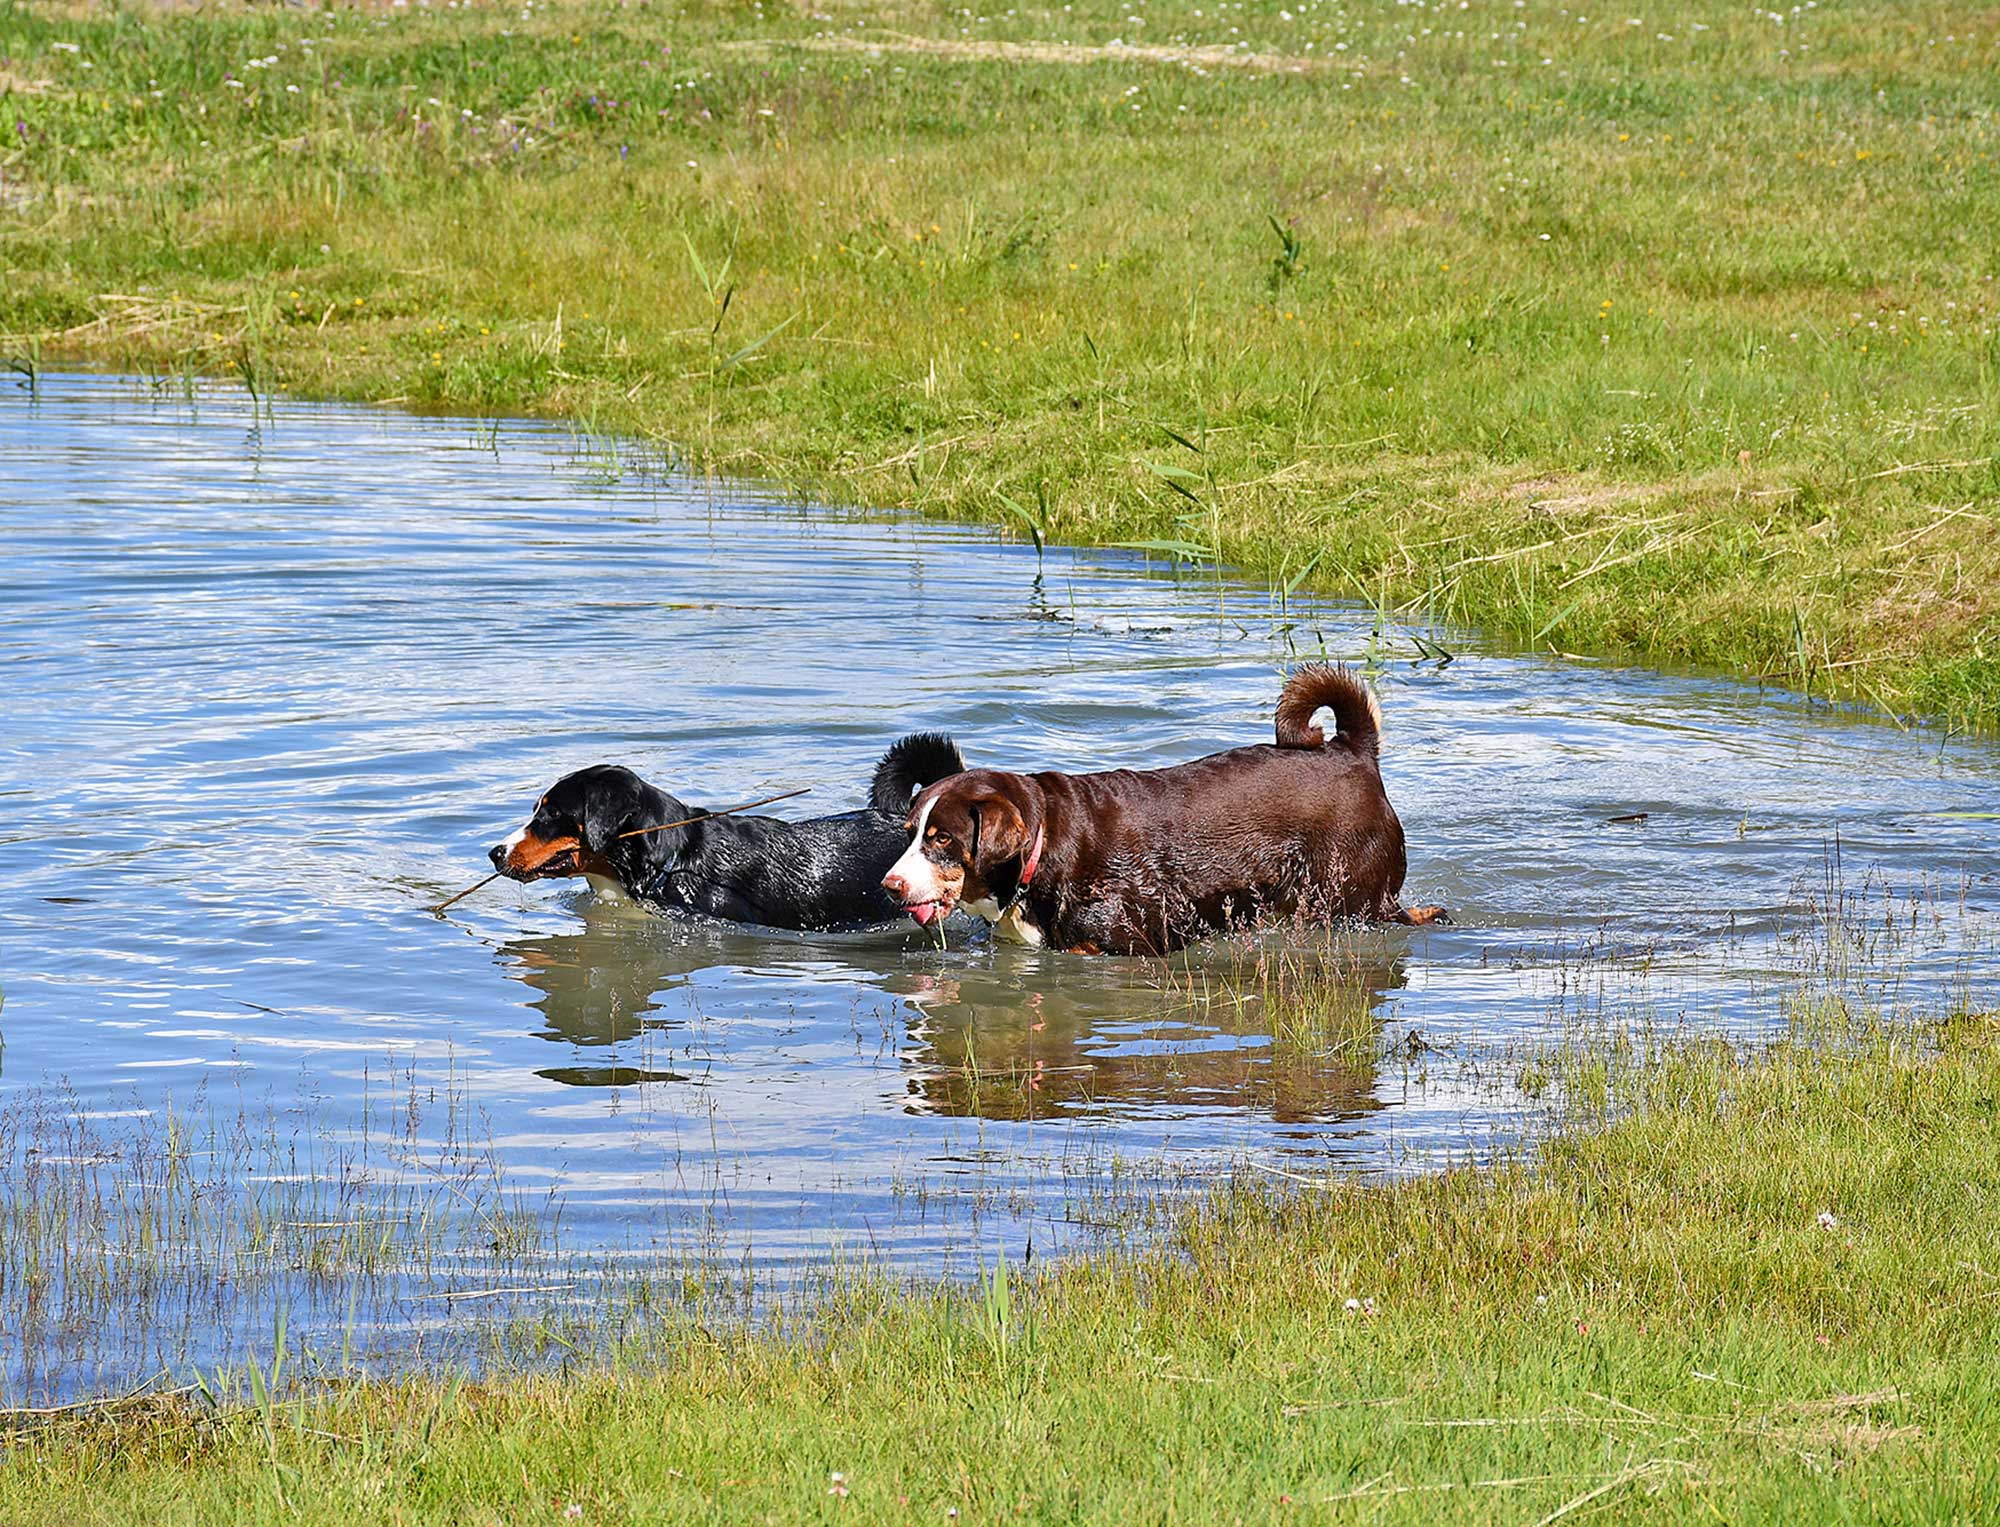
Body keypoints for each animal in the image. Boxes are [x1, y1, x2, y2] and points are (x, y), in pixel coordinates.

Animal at [880, 667, 1440, 955]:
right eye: (909, 832)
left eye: (942, 838)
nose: (890, 885)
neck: (1045, 847)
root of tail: (1351, 751)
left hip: (1355, 897)